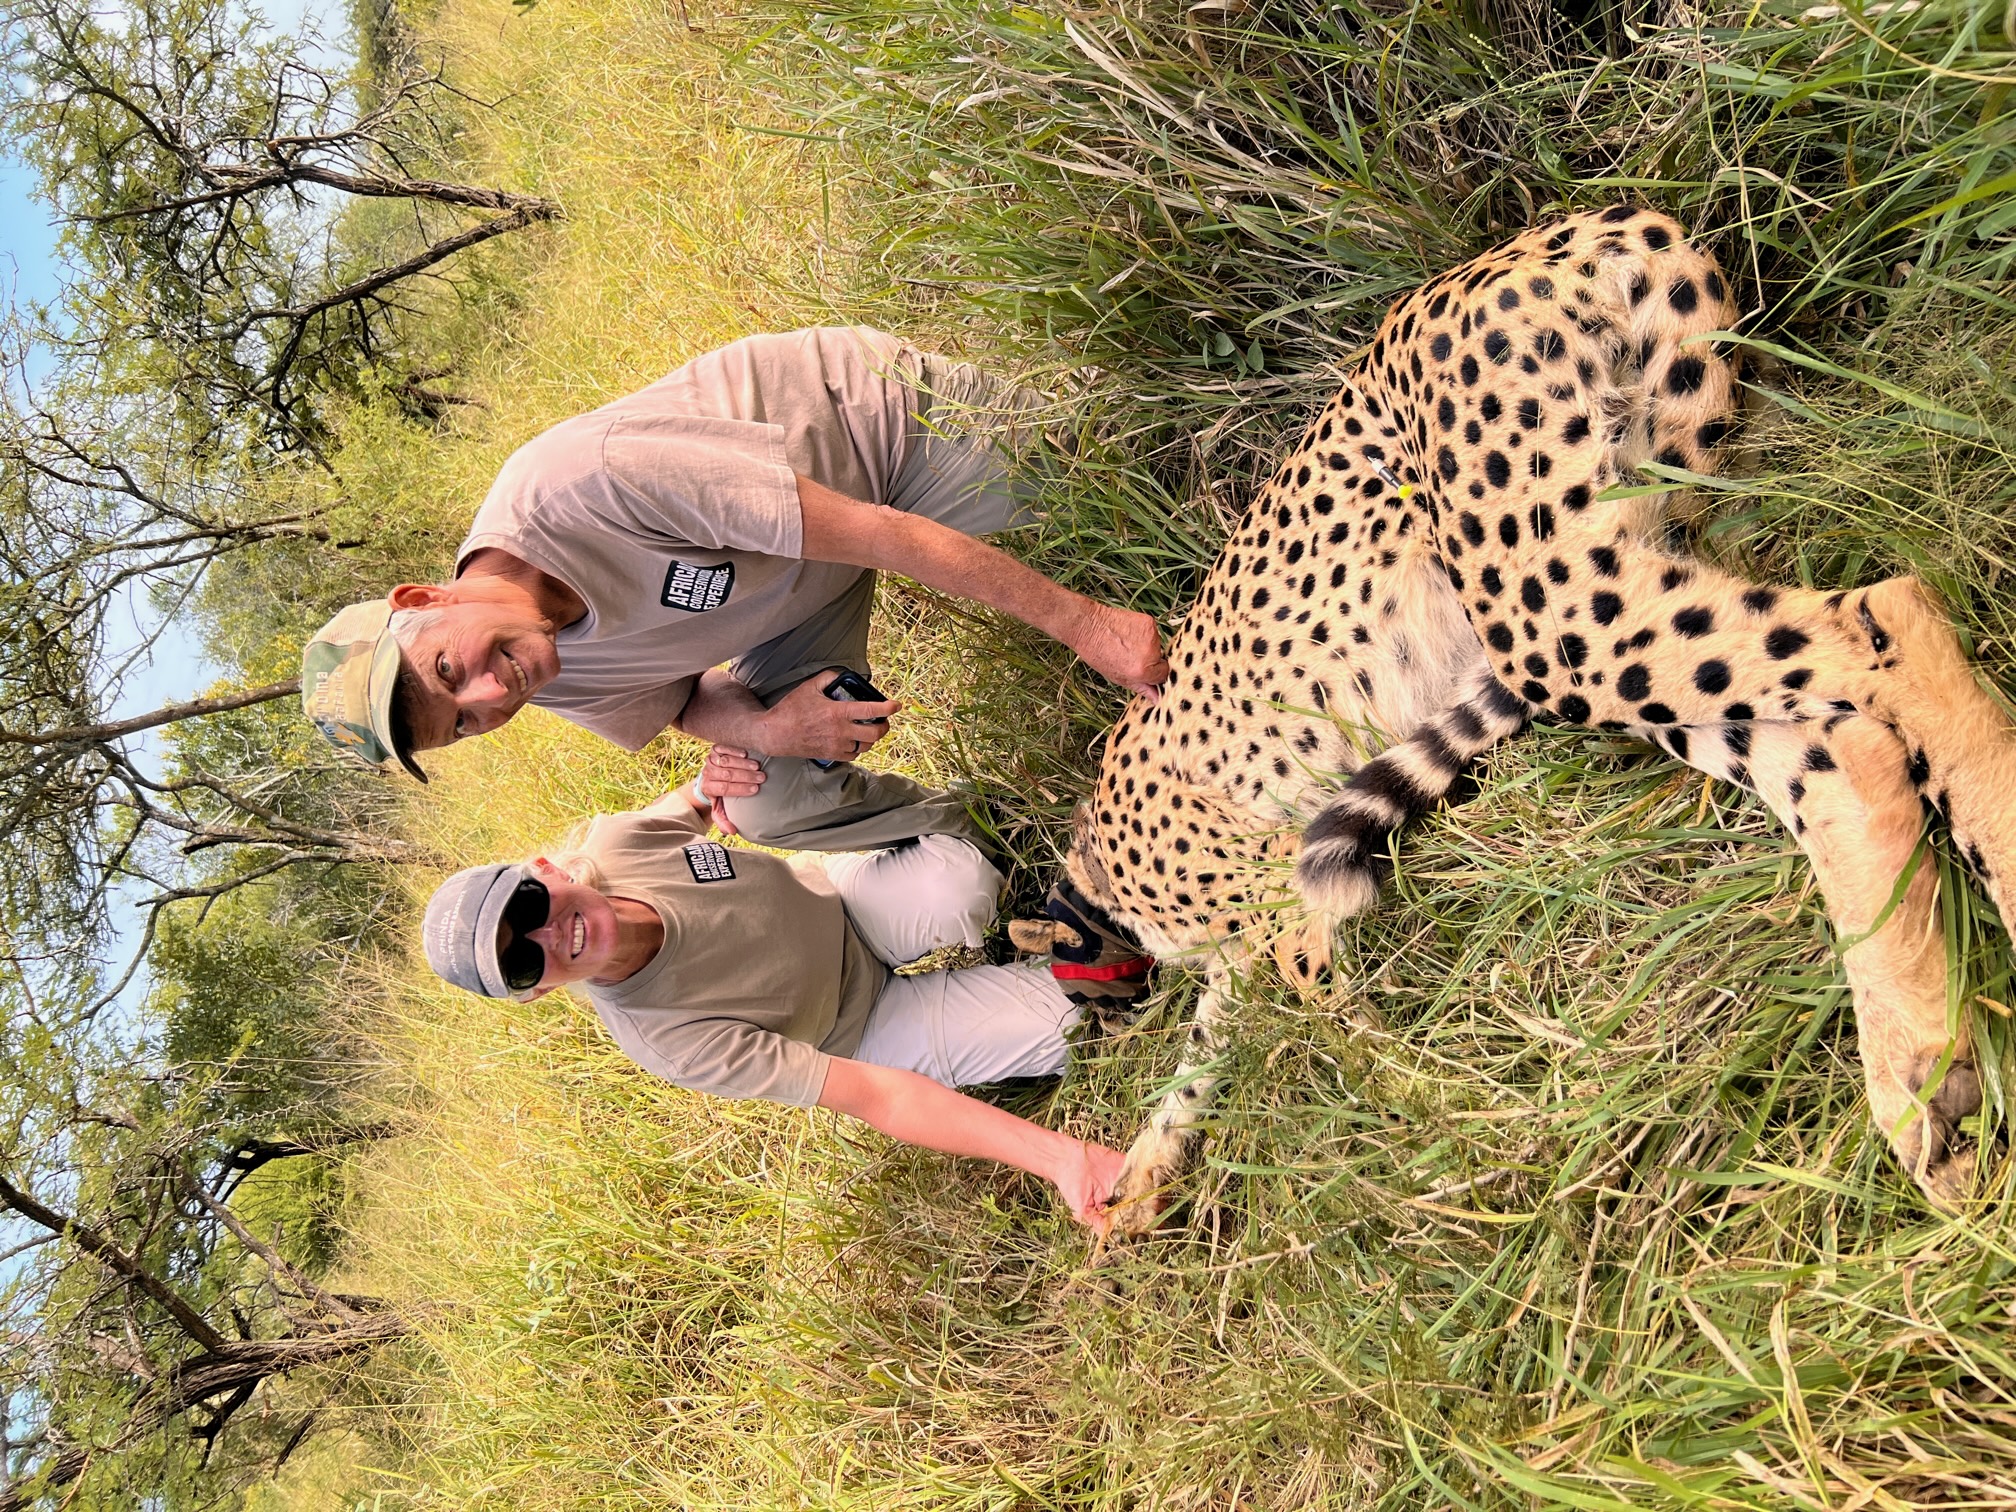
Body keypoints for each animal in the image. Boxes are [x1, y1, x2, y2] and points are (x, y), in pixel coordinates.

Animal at [1054, 205, 2015, 1233]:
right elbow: (1203, 1053)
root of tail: (1577, 224)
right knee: (1835, 741)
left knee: (1890, 609)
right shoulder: (1249, 938)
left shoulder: (1282, 896)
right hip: (1624, 585)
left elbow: (1332, 1033)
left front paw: (1440, 1133)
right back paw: (1927, 1084)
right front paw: (1138, 1177)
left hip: (1553, 619)